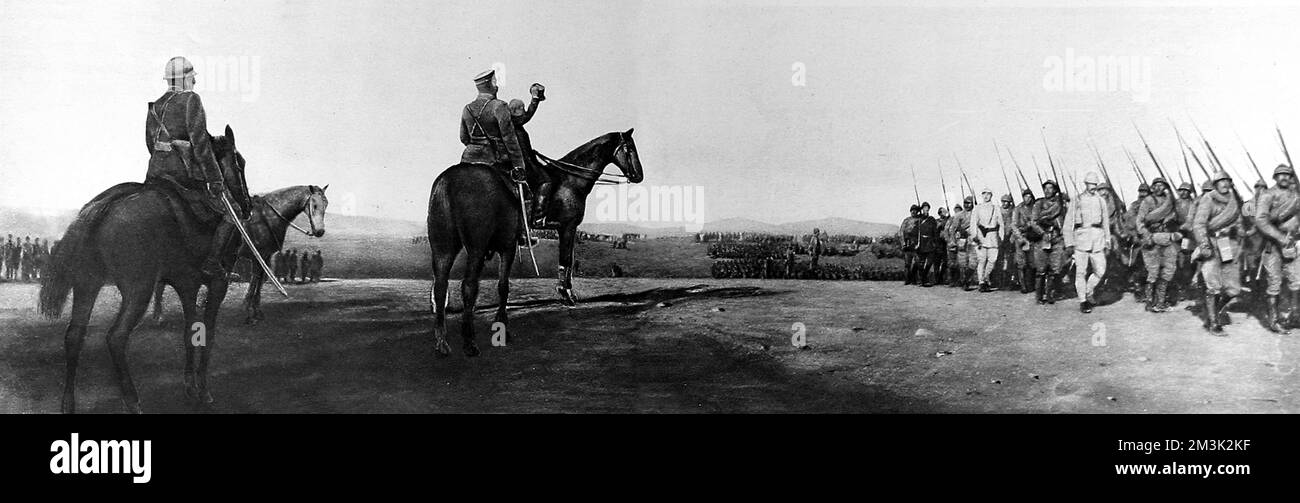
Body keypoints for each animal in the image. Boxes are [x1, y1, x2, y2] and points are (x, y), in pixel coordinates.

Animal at [40, 126, 248, 413]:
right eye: (240, 164)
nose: (246, 206)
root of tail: (101, 208)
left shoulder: (187, 284)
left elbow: (190, 331)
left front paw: (190, 387)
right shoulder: (218, 284)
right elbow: (208, 332)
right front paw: (204, 390)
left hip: (87, 284)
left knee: (74, 335)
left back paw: (68, 403)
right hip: (139, 290)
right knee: (116, 337)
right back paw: (132, 401)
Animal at [426, 129, 644, 358]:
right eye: (630, 148)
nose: (639, 175)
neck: (569, 181)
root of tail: (447, 182)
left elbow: (567, 260)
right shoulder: (567, 227)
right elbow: (566, 259)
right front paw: (566, 294)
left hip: (442, 247)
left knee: (440, 284)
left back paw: (442, 338)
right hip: (476, 248)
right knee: (468, 286)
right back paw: (468, 341)